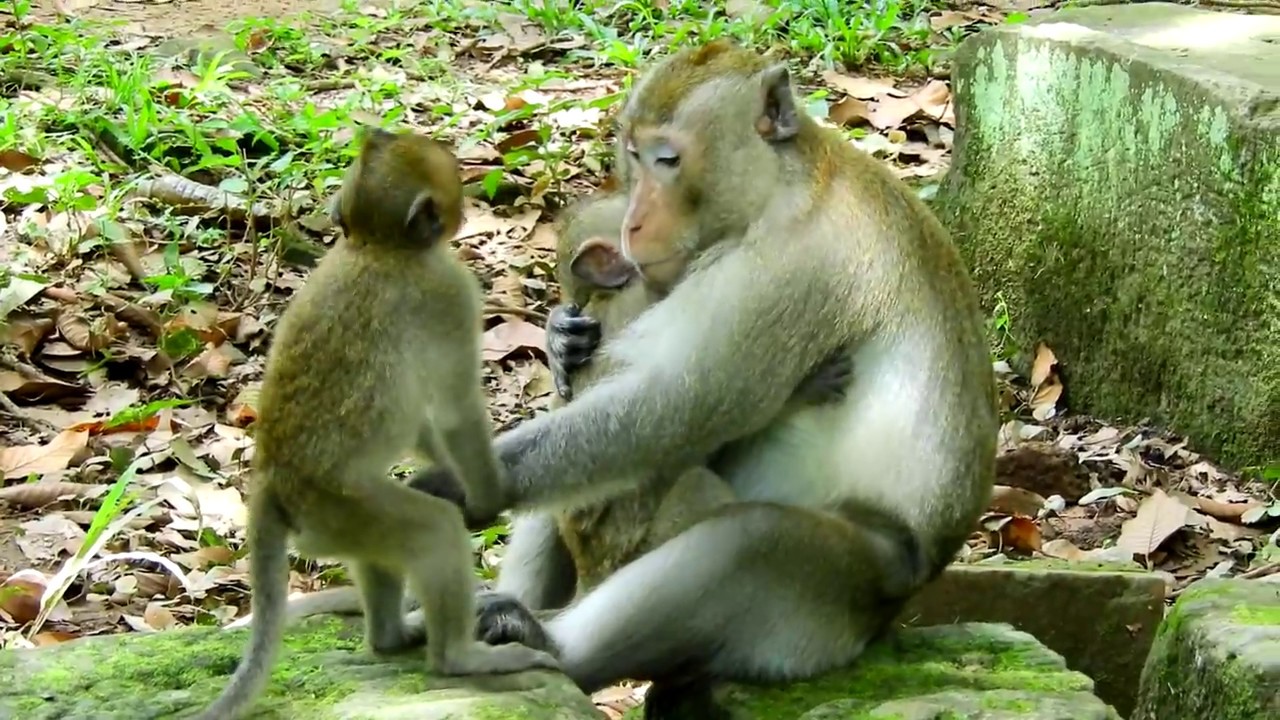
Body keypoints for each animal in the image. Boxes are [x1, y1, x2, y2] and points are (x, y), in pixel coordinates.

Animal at [195, 127, 558, 720]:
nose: (465, 206)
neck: (375, 245)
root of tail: (270, 480)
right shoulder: (450, 292)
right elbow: (456, 409)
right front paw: (487, 496)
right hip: (341, 509)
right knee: (432, 530)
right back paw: (458, 658)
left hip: (337, 522)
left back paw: (392, 638)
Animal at [412, 39, 998, 717]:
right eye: (633, 155)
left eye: (668, 160)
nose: (634, 221)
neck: (786, 182)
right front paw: (560, 345)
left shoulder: (791, 260)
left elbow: (672, 407)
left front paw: (443, 486)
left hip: (850, 597)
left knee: (751, 541)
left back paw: (551, 644)